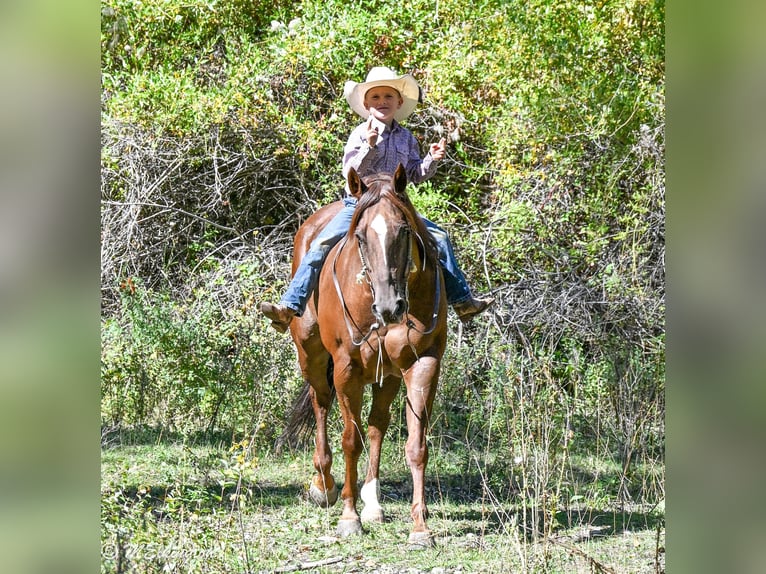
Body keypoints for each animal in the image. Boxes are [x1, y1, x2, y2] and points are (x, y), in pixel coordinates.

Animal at [282, 164, 448, 546]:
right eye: (359, 236)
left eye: (404, 230)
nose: (389, 307)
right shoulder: (347, 368)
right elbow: (349, 441)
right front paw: (348, 517)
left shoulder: (423, 363)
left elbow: (416, 446)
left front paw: (420, 528)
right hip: (313, 358)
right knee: (321, 405)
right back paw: (324, 485)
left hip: (386, 375)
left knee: (376, 426)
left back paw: (372, 502)